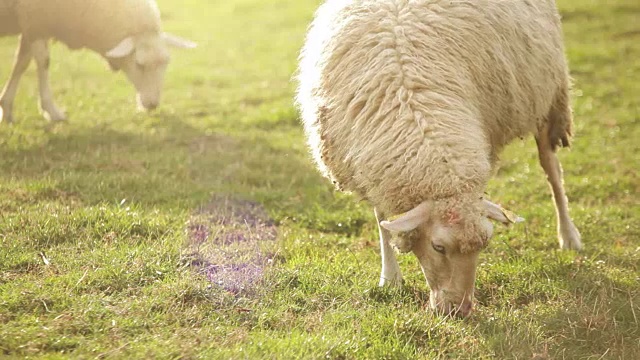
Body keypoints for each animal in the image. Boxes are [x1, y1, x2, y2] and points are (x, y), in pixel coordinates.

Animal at [0, 0, 196, 124]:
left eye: (166, 63)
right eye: (139, 64)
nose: (153, 104)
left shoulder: (30, 24)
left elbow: (22, 62)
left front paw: (6, 107)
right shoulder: (35, 20)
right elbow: (43, 61)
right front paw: (52, 111)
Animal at [298, 0, 584, 316]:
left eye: (484, 245)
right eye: (438, 247)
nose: (459, 311)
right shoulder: (373, 163)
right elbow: (382, 220)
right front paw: (390, 278)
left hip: (548, 96)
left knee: (552, 171)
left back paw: (569, 235)